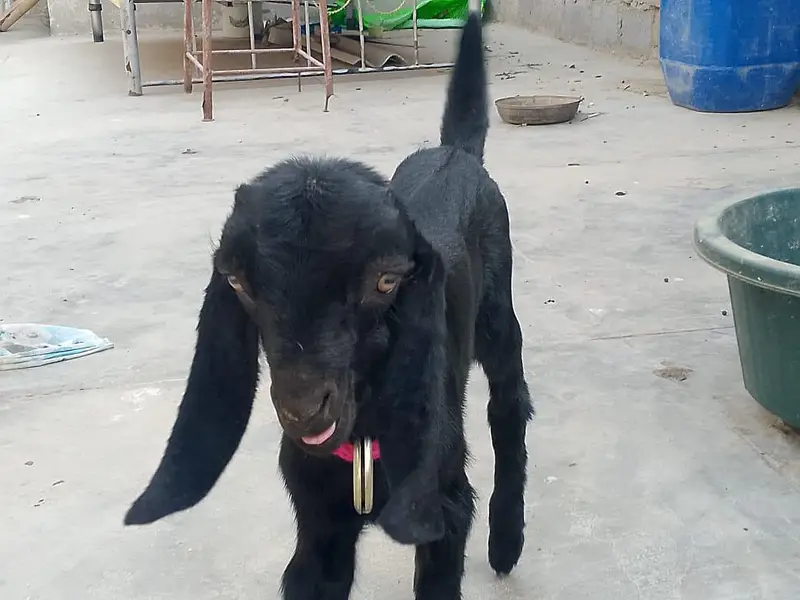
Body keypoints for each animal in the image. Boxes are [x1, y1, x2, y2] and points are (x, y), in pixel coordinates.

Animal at [124, 12, 534, 600]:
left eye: (386, 279)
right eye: (238, 282)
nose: (302, 407)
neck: (363, 438)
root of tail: (455, 153)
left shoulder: (442, 511)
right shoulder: (318, 526)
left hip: (499, 323)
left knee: (510, 405)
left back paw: (506, 538)